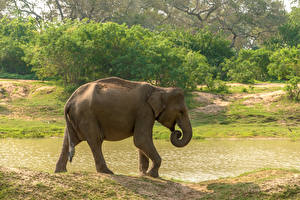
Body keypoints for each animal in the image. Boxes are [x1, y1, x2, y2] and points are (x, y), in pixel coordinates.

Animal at [55, 77, 192, 178]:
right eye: (181, 112)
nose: (177, 132)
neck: (159, 89)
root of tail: (69, 100)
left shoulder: (145, 113)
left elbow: (141, 142)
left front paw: (143, 174)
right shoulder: (145, 111)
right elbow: (141, 139)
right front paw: (153, 175)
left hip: (76, 118)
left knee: (68, 141)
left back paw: (60, 171)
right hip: (86, 115)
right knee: (96, 140)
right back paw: (107, 172)